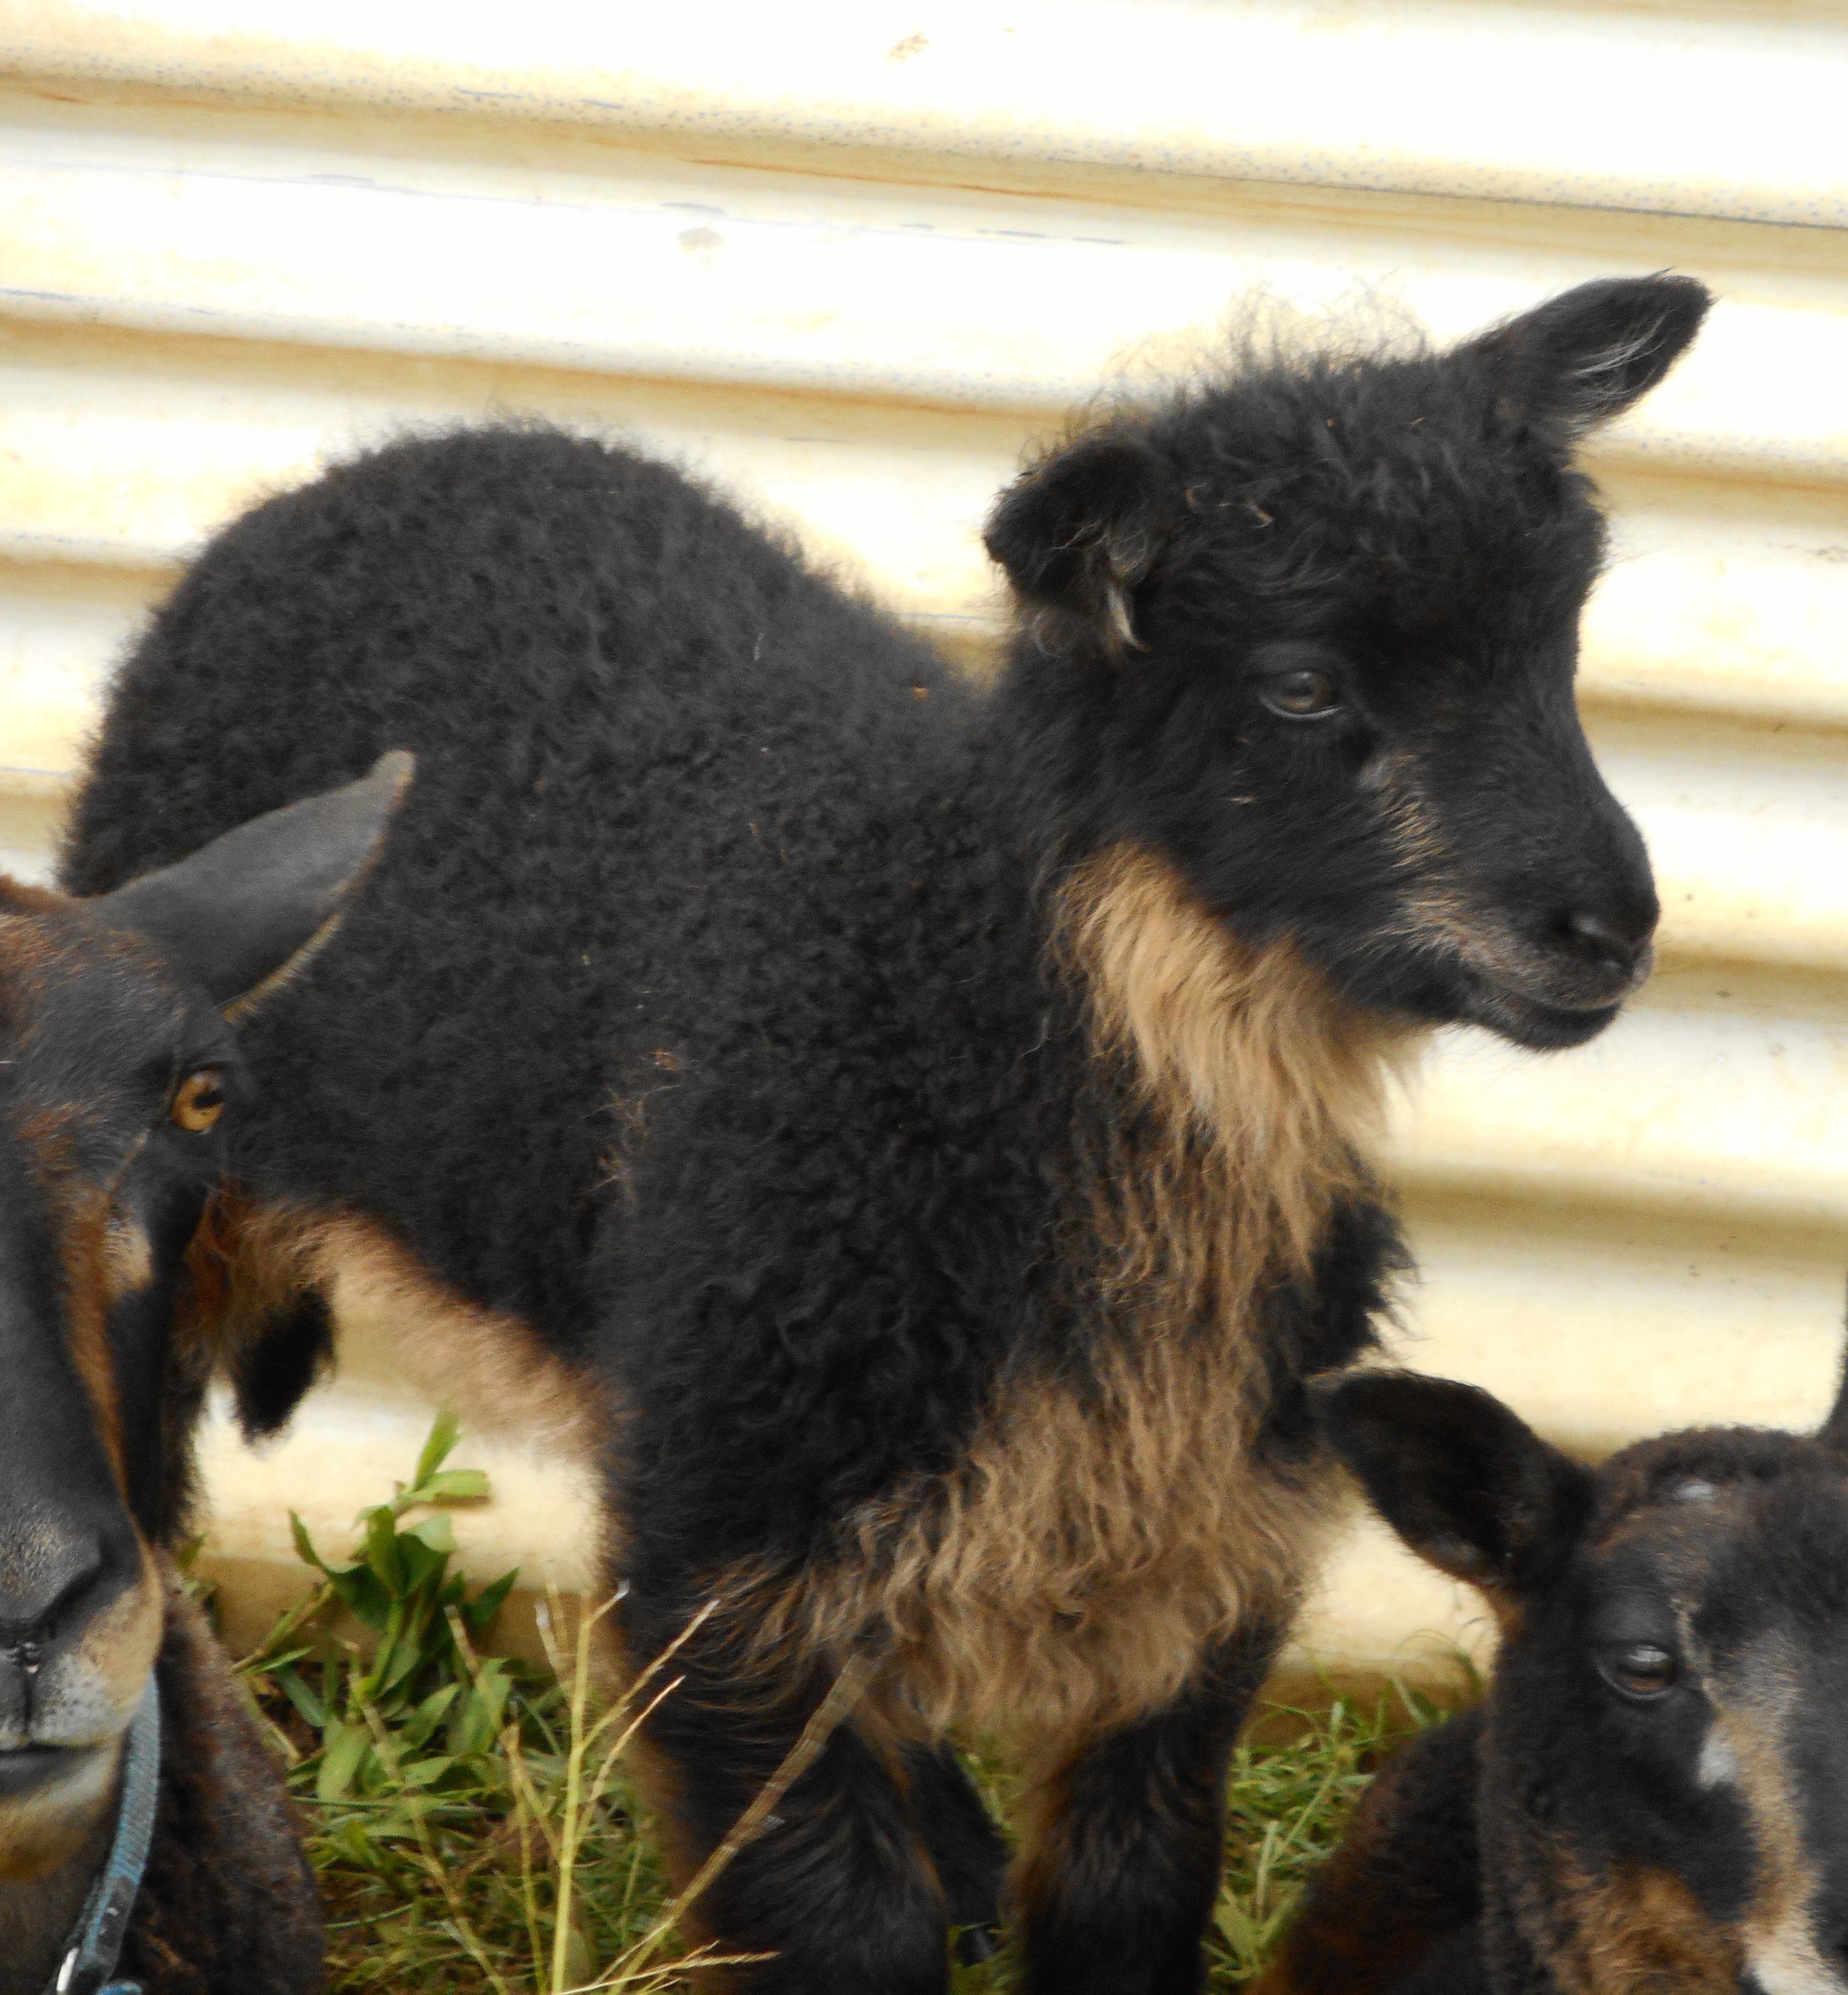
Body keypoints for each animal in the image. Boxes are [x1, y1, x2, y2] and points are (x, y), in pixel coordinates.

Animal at [65, 273, 1716, 1987]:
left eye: (1556, 647)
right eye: (1304, 683)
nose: (1607, 929)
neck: (943, 1029)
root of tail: (370, 469)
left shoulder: (1192, 1575)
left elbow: (1127, 1895)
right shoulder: (727, 1545)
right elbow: (840, 1926)